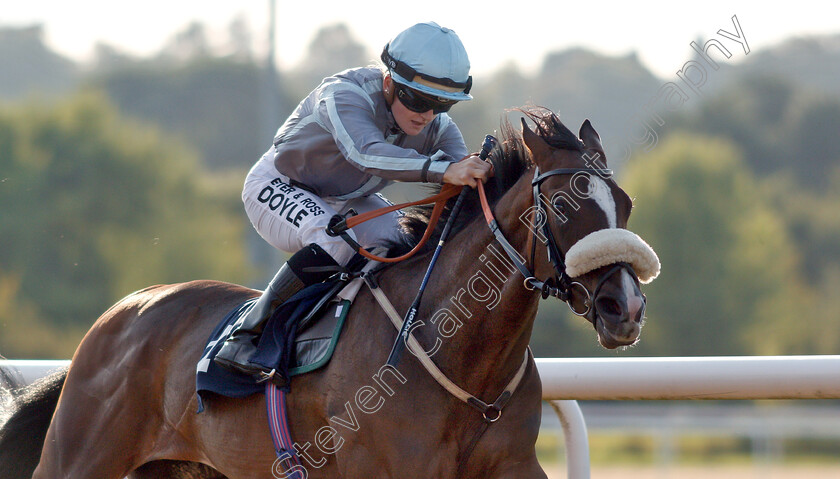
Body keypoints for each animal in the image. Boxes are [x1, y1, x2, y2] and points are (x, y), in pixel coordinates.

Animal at [0, 108, 656, 479]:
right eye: (563, 204)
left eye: (624, 204)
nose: (624, 307)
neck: (461, 360)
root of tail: (119, 313)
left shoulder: (512, 466)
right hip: (80, 457)